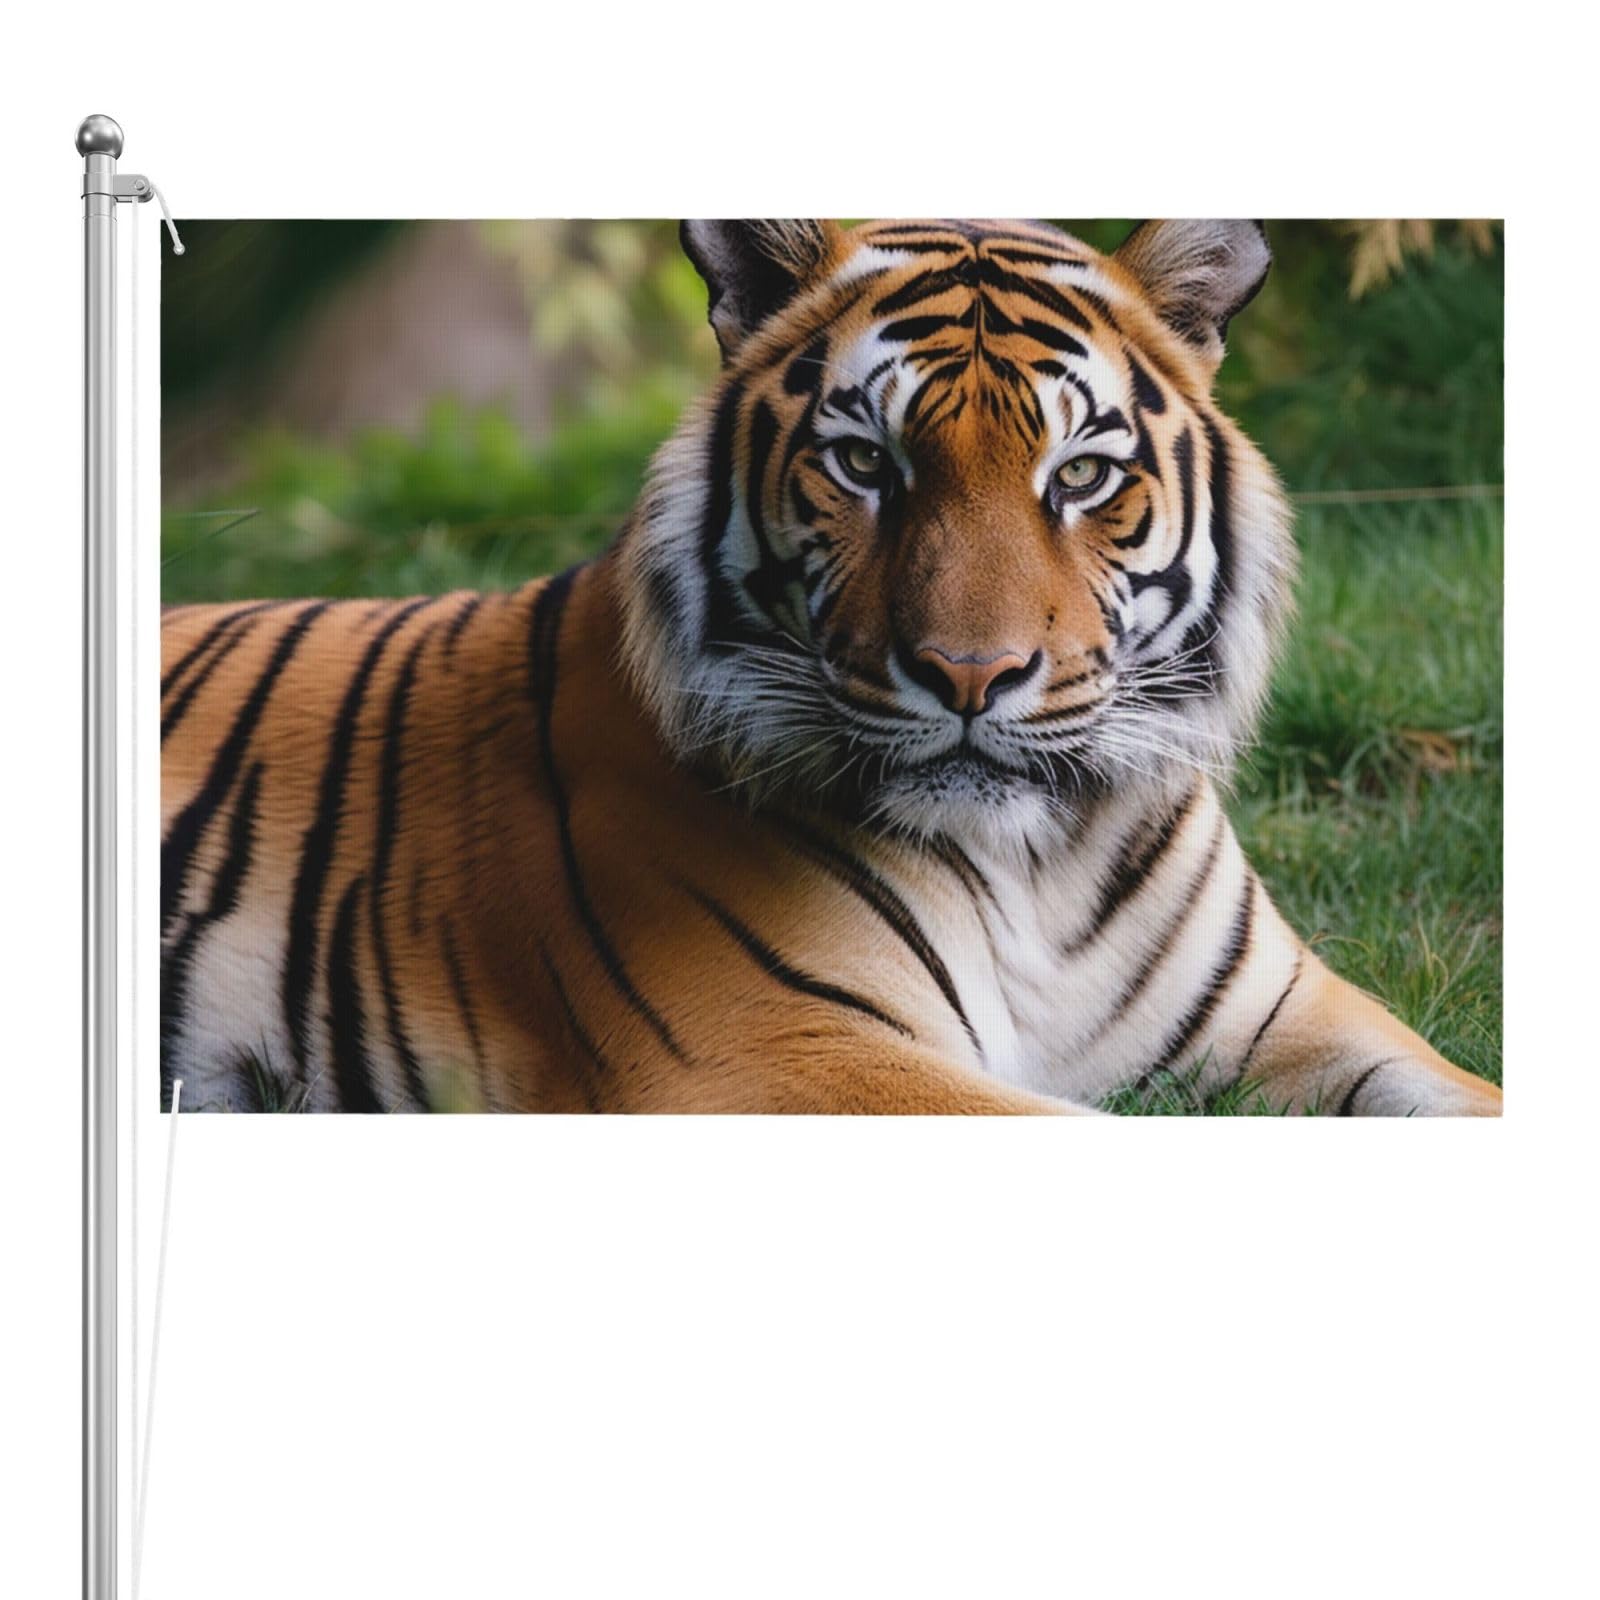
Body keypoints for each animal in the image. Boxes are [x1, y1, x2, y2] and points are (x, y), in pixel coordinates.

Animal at [160, 218, 1501, 1115]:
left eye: (1079, 475)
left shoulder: (1302, 1021)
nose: (971, 674)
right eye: (865, 463)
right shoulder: (774, 1047)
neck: (1041, 872)